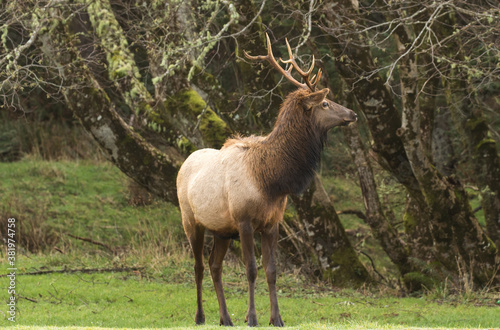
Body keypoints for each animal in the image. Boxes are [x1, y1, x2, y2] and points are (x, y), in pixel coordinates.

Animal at [178, 32, 358, 326]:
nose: (352, 114)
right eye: (324, 103)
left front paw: (277, 317)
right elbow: (251, 269)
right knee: (199, 266)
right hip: (190, 220)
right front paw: (252, 317)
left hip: (221, 229)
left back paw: (225, 318)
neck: (270, 180)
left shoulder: (273, 223)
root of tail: (184, 162)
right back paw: (200, 316)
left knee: (215, 266)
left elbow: (271, 270)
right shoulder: (244, 220)